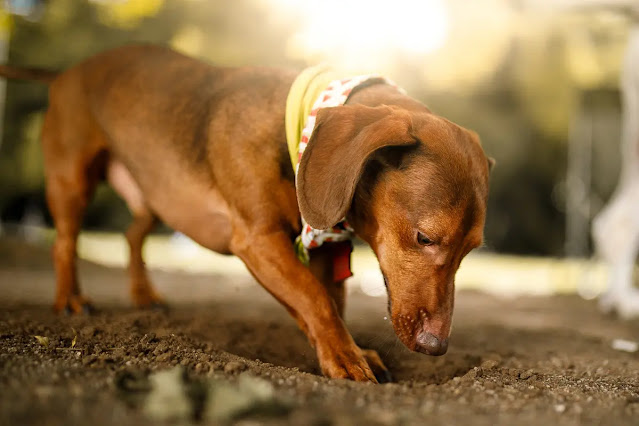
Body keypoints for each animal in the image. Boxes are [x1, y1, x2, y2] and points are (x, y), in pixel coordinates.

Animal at [0, 45, 492, 382]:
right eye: (425, 238)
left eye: (471, 251)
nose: (436, 346)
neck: (298, 128)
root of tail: (68, 71)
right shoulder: (257, 239)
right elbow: (314, 300)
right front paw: (347, 358)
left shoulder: (320, 252)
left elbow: (326, 303)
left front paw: (345, 349)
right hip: (72, 181)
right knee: (65, 242)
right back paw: (70, 300)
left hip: (160, 194)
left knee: (132, 235)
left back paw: (143, 294)